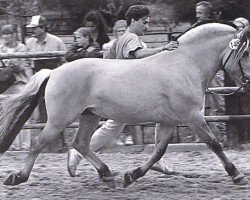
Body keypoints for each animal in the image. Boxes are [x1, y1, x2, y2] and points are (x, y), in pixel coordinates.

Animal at [0, 21, 249, 188]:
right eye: (245, 52)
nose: (247, 84)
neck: (185, 64)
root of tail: (54, 72)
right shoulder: (192, 116)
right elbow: (214, 143)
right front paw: (237, 175)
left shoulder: (170, 122)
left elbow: (158, 151)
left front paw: (132, 175)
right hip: (59, 120)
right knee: (38, 143)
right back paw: (17, 177)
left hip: (89, 115)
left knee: (81, 143)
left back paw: (106, 174)